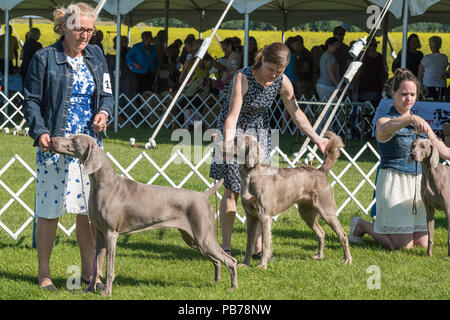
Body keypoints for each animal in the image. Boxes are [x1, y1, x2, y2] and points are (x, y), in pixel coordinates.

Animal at [51, 133, 237, 296]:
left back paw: (233, 287)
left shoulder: (111, 233)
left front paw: (107, 292)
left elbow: (109, 267)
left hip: (203, 236)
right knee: (217, 260)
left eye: (74, 140)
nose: (52, 140)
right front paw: (90, 289)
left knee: (230, 260)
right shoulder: (99, 233)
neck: (103, 183)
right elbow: (96, 264)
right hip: (193, 239)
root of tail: (204, 195)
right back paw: (216, 281)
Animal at [223, 131, 354, 268]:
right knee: (321, 233)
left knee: (343, 235)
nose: (219, 143)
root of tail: (321, 171)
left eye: (236, 140)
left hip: (326, 211)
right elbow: (249, 243)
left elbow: (265, 244)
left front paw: (262, 265)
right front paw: (244, 264)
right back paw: (319, 256)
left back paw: (347, 259)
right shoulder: (251, 216)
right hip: (306, 213)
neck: (250, 175)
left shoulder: (264, 215)